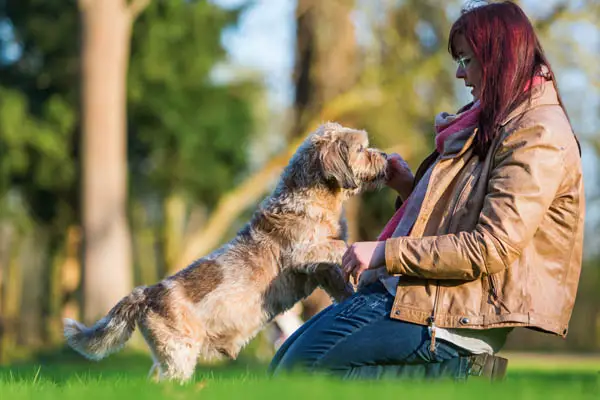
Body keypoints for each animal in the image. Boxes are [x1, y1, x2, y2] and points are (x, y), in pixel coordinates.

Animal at [63, 122, 386, 384]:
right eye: (361, 148)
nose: (384, 155)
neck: (312, 198)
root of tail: (146, 294)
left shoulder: (323, 271)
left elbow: (340, 283)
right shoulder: (304, 253)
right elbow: (340, 247)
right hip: (180, 353)